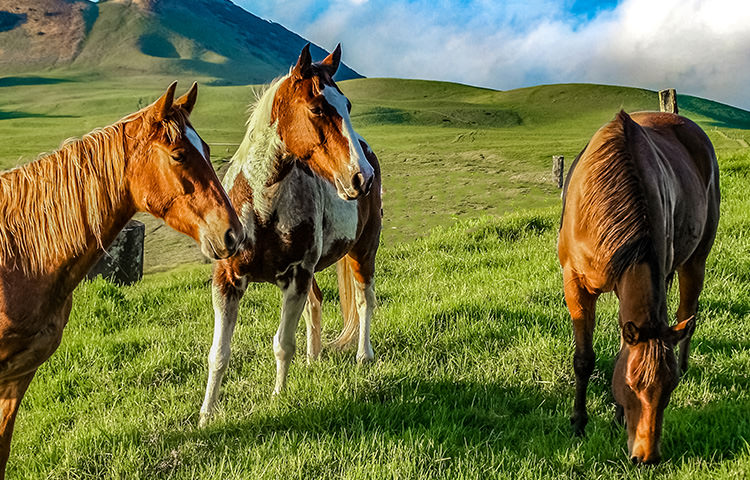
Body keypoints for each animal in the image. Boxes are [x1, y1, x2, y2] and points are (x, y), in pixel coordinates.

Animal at [200, 44, 382, 424]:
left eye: (348, 105)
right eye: (316, 108)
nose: (362, 177)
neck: (261, 205)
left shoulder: (296, 276)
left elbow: (283, 345)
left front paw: (278, 398)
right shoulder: (227, 280)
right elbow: (218, 353)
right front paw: (206, 415)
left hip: (363, 251)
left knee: (364, 300)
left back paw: (364, 356)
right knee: (317, 303)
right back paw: (314, 359)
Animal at [560, 110, 720, 464]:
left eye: (669, 389)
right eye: (632, 384)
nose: (646, 457)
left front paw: (618, 418)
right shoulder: (575, 283)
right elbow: (584, 359)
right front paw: (578, 422)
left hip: (695, 260)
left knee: (687, 314)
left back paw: (685, 363)